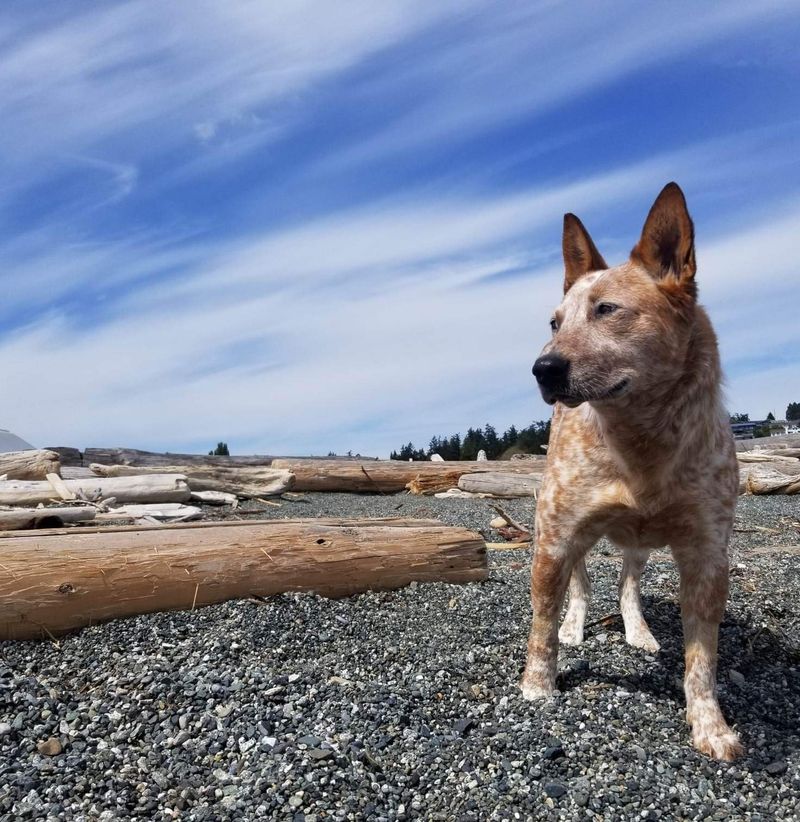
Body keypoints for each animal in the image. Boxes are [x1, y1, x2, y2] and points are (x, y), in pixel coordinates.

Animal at [520, 183, 740, 764]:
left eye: (607, 310)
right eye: (555, 322)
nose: (542, 368)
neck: (641, 441)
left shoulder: (708, 556)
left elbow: (702, 658)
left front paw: (710, 725)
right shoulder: (555, 537)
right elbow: (541, 623)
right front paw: (537, 687)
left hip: (640, 543)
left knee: (628, 582)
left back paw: (637, 630)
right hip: (564, 529)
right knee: (581, 582)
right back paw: (576, 625)